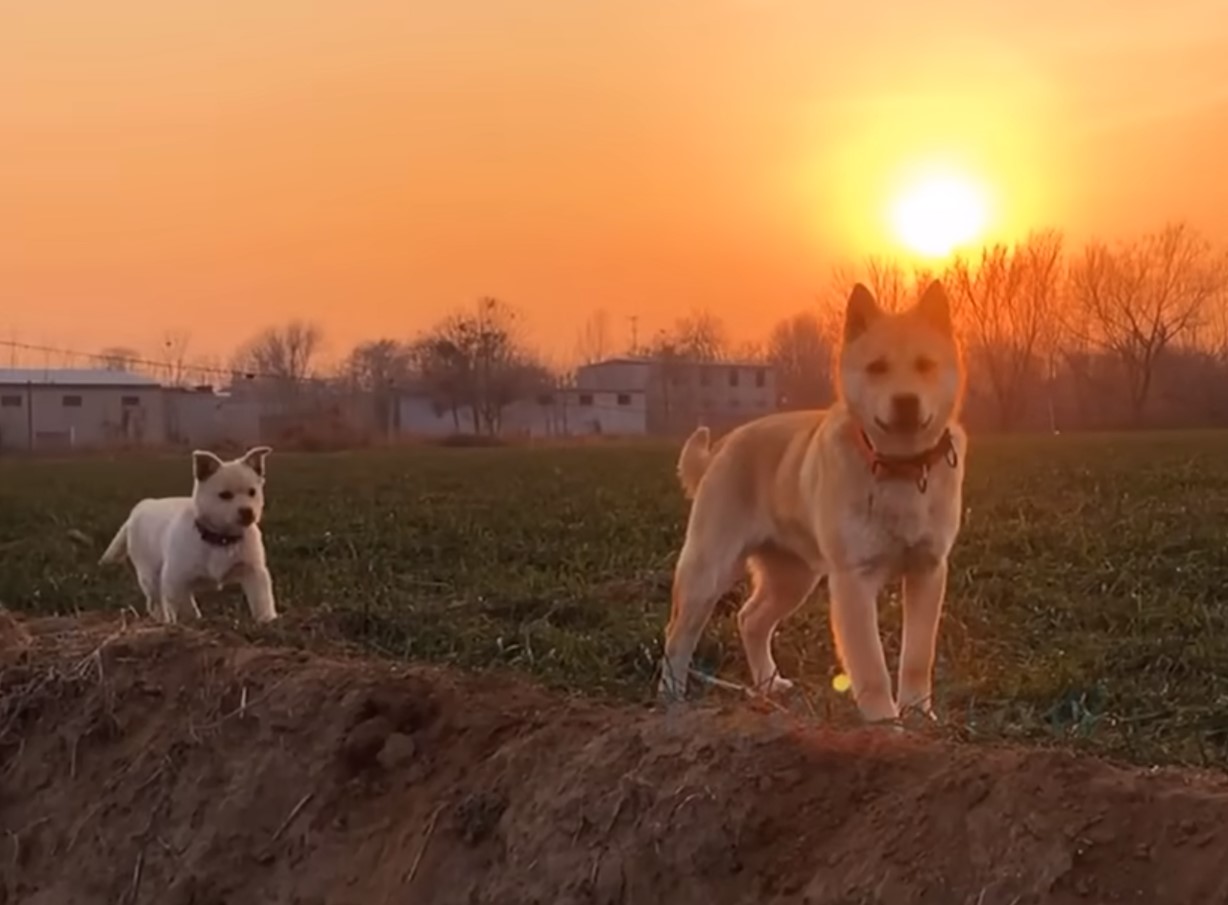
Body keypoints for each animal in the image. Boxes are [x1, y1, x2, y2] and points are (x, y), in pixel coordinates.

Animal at [98, 444, 281, 621]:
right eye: (225, 495)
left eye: (252, 492)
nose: (247, 512)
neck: (220, 539)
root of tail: (140, 507)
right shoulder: (175, 579)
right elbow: (186, 608)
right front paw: (191, 623)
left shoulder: (254, 572)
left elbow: (262, 600)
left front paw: (267, 620)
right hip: (149, 575)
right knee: (155, 603)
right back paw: (163, 621)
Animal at [663, 281, 967, 722]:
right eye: (877, 367)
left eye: (926, 364)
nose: (906, 401)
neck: (900, 469)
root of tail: (721, 447)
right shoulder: (853, 579)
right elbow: (870, 664)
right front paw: (885, 724)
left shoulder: (928, 571)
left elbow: (917, 656)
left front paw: (919, 716)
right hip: (709, 570)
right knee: (678, 633)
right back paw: (671, 698)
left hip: (793, 576)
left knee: (750, 619)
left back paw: (769, 684)